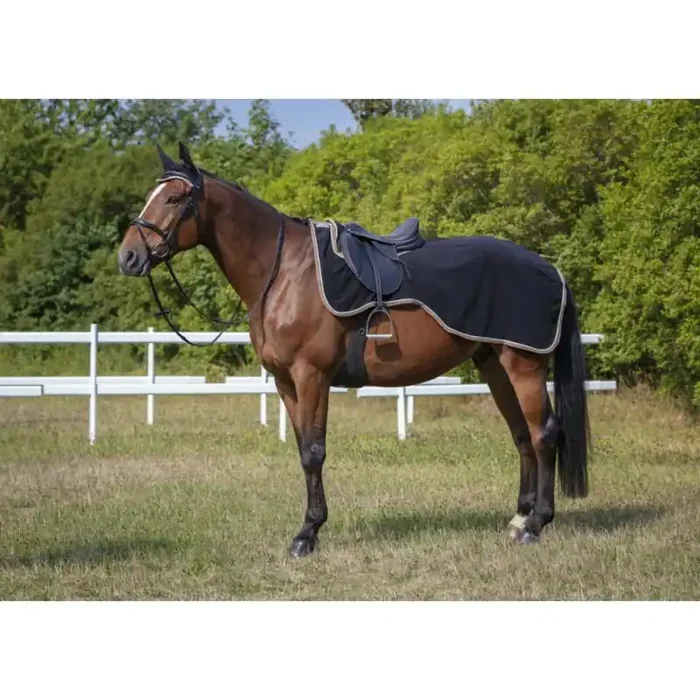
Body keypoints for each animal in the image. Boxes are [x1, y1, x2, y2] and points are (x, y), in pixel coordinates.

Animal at [117, 142, 591, 556]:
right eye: (152, 196)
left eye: (175, 198)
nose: (128, 257)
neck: (285, 273)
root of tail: (550, 269)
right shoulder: (286, 382)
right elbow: (303, 450)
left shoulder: (311, 376)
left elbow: (314, 453)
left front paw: (307, 534)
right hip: (494, 364)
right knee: (521, 435)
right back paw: (519, 518)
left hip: (524, 365)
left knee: (545, 433)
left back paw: (536, 525)